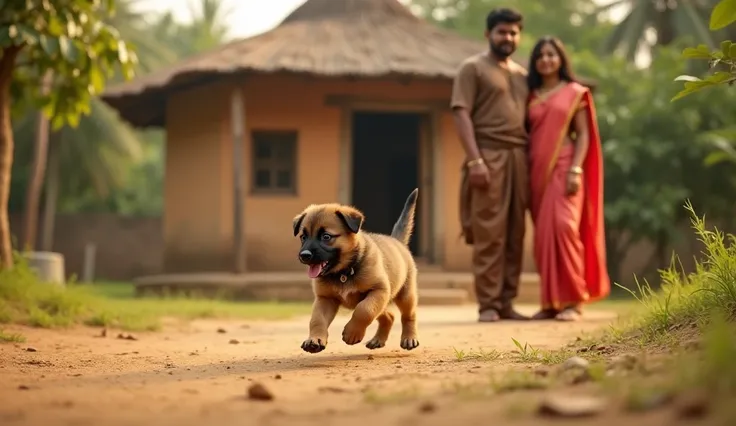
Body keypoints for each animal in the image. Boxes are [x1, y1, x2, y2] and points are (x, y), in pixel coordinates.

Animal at [292, 189, 420, 352]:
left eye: (326, 236)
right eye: (303, 237)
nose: (304, 255)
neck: (344, 272)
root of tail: (397, 242)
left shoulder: (379, 291)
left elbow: (364, 310)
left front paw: (352, 333)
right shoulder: (325, 299)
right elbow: (317, 319)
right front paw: (314, 339)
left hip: (405, 296)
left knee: (409, 315)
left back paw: (409, 338)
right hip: (384, 303)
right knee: (389, 316)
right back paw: (378, 340)